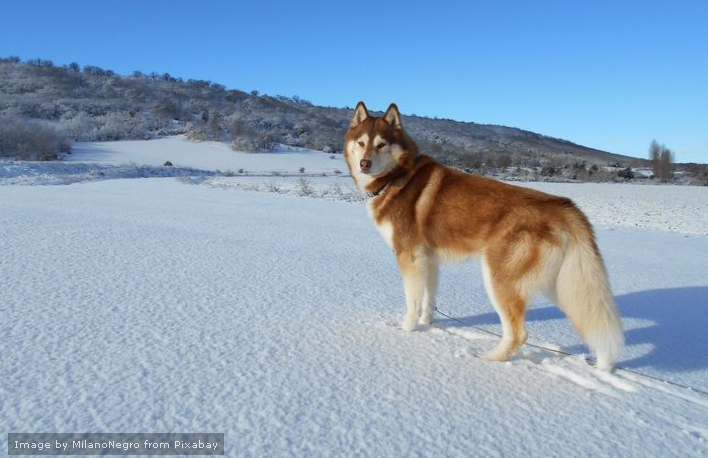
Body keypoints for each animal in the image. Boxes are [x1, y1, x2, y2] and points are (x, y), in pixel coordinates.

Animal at [346, 102, 624, 370]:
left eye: (381, 144)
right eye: (361, 143)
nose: (364, 164)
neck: (397, 176)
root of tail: (562, 206)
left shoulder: (409, 258)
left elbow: (412, 302)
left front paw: (405, 330)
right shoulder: (429, 260)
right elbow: (428, 298)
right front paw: (427, 324)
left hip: (500, 280)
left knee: (518, 333)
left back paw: (489, 360)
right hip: (562, 285)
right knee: (591, 320)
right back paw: (604, 365)